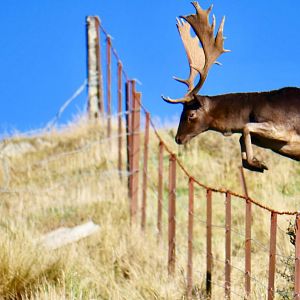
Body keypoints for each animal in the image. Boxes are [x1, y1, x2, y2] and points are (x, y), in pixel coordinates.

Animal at [163, 1, 298, 172]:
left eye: (191, 114)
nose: (178, 138)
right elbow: (241, 136)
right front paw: (255, 163)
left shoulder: (284, 128)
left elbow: (245, 127)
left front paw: (256, 162)